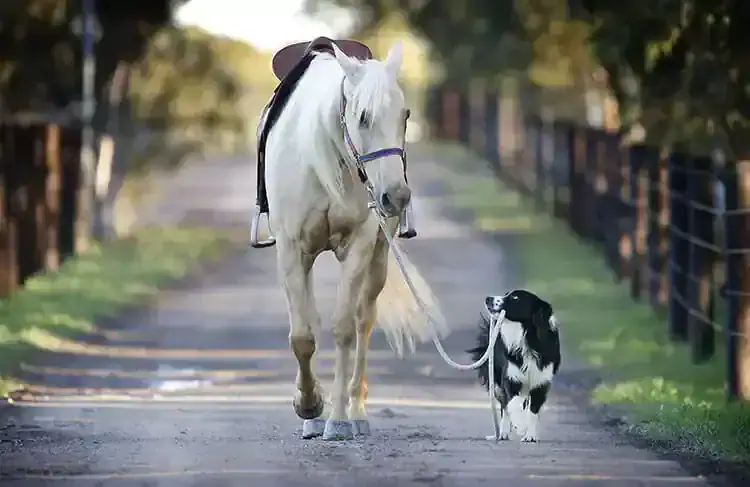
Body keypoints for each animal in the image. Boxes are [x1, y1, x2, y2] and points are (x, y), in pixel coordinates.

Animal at [263, 40, 447, 440]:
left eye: (406, 115)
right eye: (363, 117)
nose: (397, 197)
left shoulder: (360, 246)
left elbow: (345, 327)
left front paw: (337, 418)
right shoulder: (291, 250)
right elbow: (303, 335)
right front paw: (309, 405)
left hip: (379, 257)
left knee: (365, 319)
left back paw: (356, 412)